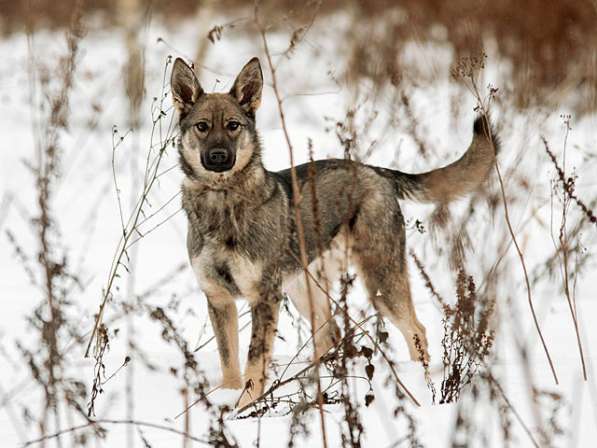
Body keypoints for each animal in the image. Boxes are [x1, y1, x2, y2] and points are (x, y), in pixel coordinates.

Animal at [171, 57, 498, 410]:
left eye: (233, 126)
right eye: (202, 127)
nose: (218, 157)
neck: (222, 201)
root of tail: (374, 171)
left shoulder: (264, 298)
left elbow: (254, 364)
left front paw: (245, 407)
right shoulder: (219, 299)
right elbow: (229, 363)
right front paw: (228, 400)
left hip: (380, 285)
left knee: (416, 330)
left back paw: (423, 386)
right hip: (305, 291)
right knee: (331, 335)